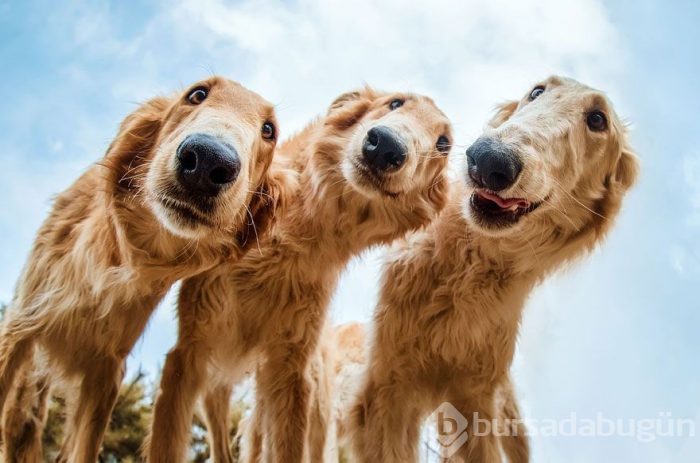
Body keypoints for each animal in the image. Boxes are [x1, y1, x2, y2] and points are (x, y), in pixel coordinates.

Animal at [0, 78, 288, 463]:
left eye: (269, 130)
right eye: (197, 94)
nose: (208, 160)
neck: (112, 257)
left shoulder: (107, 368)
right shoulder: (18, 329)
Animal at [146, 88, 454, 463]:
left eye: (443, 143)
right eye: (395, 103)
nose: (385, 147)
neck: (289, 239)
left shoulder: (291, 371)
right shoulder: (192, 347)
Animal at [350, 77, 640, 463]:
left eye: (597, 120)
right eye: (536, 91)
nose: (487, 159)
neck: (471, 273)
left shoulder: (477, 399)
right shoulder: (388, 388)